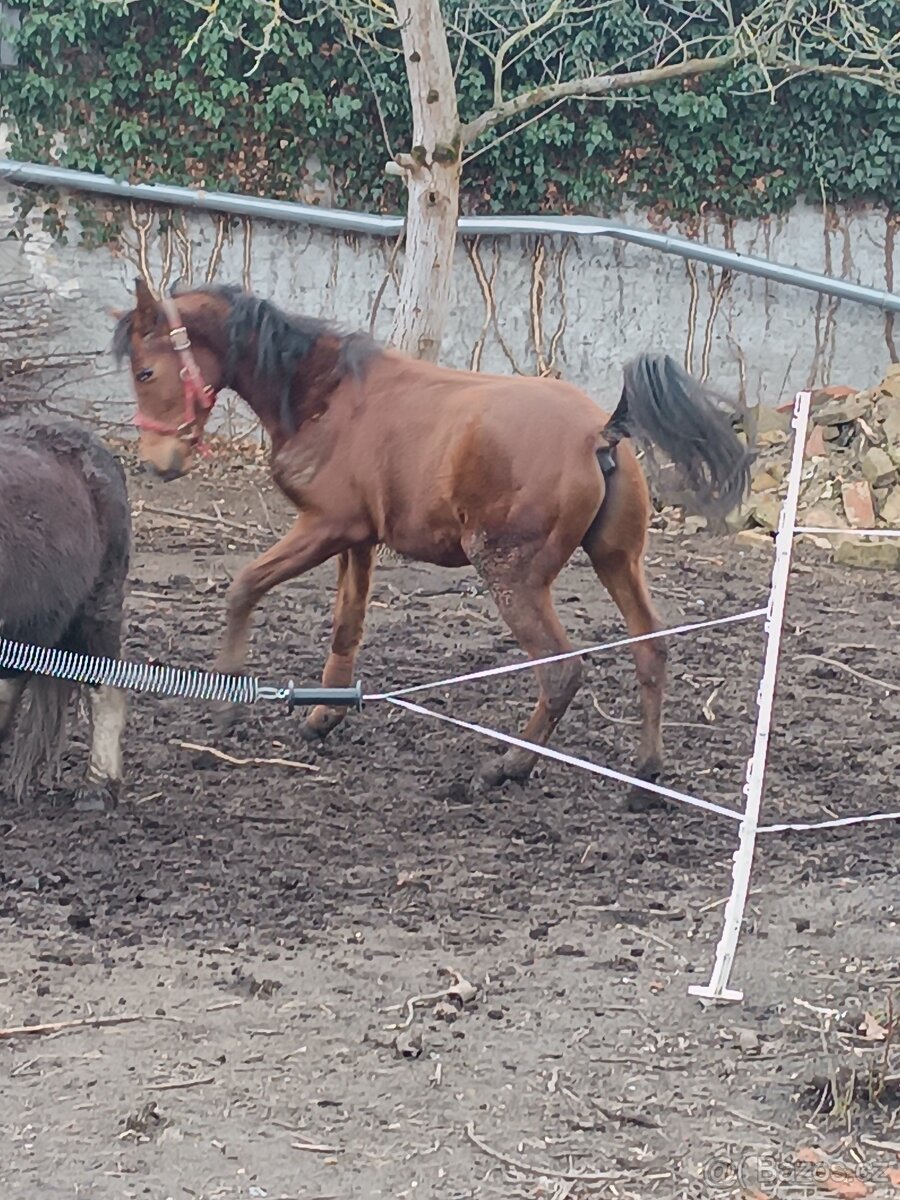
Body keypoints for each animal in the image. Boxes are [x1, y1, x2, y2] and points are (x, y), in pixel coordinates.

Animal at [114, 278, 750, 804]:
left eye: (146, 373)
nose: (156, 463)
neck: (327, 392)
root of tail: (601, 430)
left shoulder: (322, 527)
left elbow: (244, 588)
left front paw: (227, 709)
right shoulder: (356, 537)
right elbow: (346, 625)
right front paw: (324, 715)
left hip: (512, 574)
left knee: (561, 670)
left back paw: (509, 766)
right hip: (617, 561)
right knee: (651, 650)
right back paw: (644, 776)